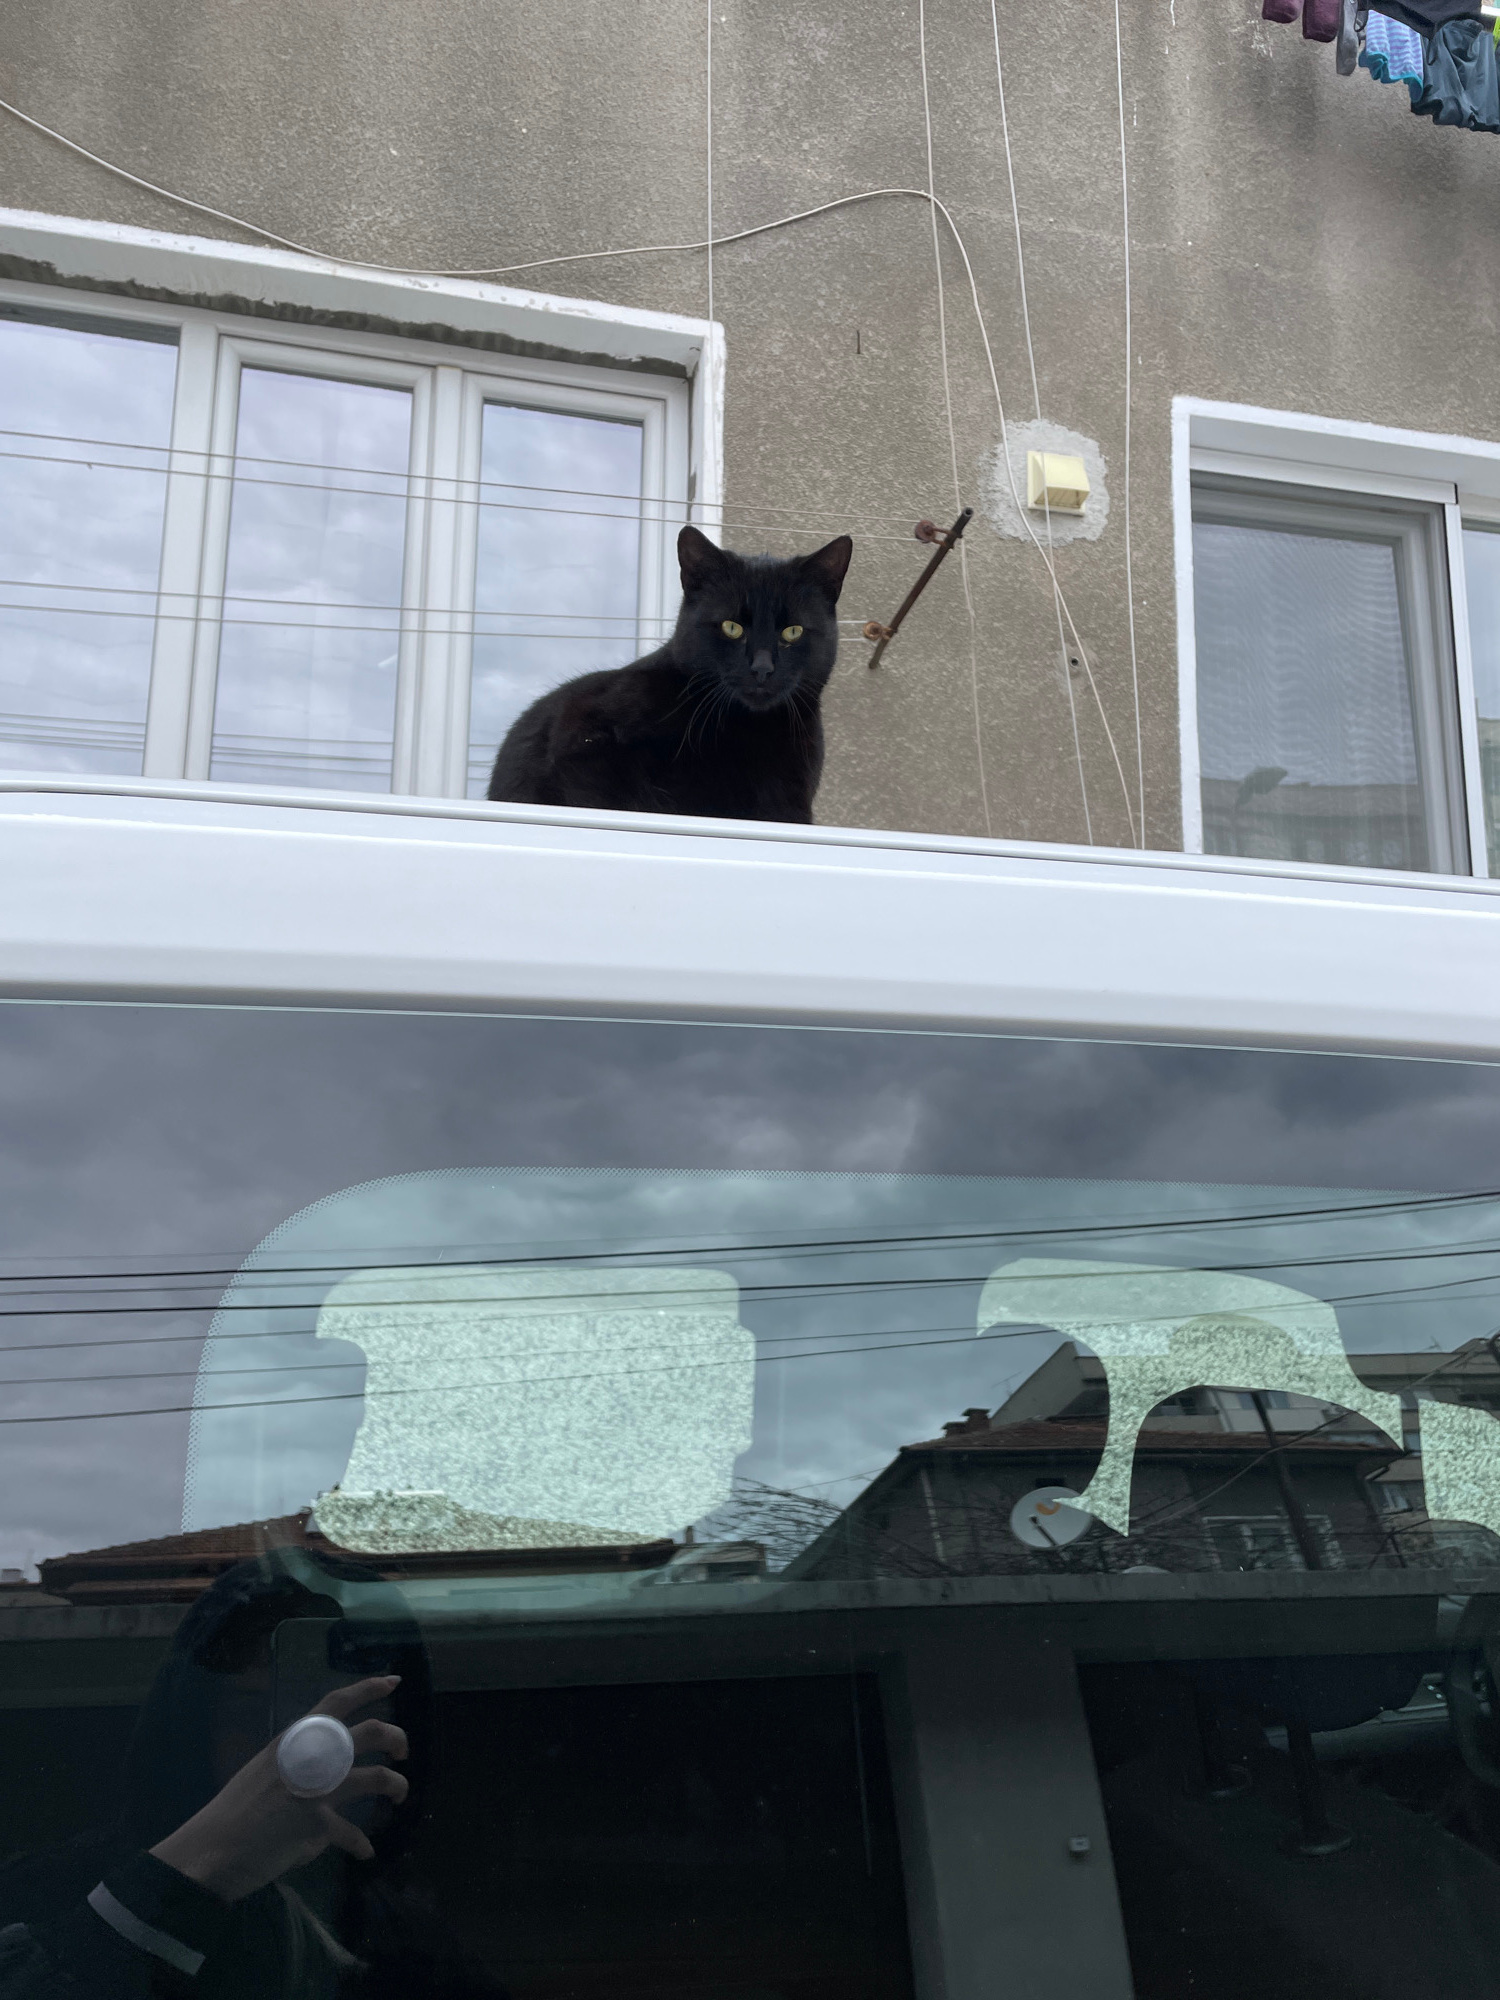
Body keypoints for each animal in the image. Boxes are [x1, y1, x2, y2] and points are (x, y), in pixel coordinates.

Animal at [486, 524, 853, 824]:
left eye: (793, 631)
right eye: (731, 627)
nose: (762, 667)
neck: (748, 731)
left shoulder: (789, 805)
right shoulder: (580, 731)